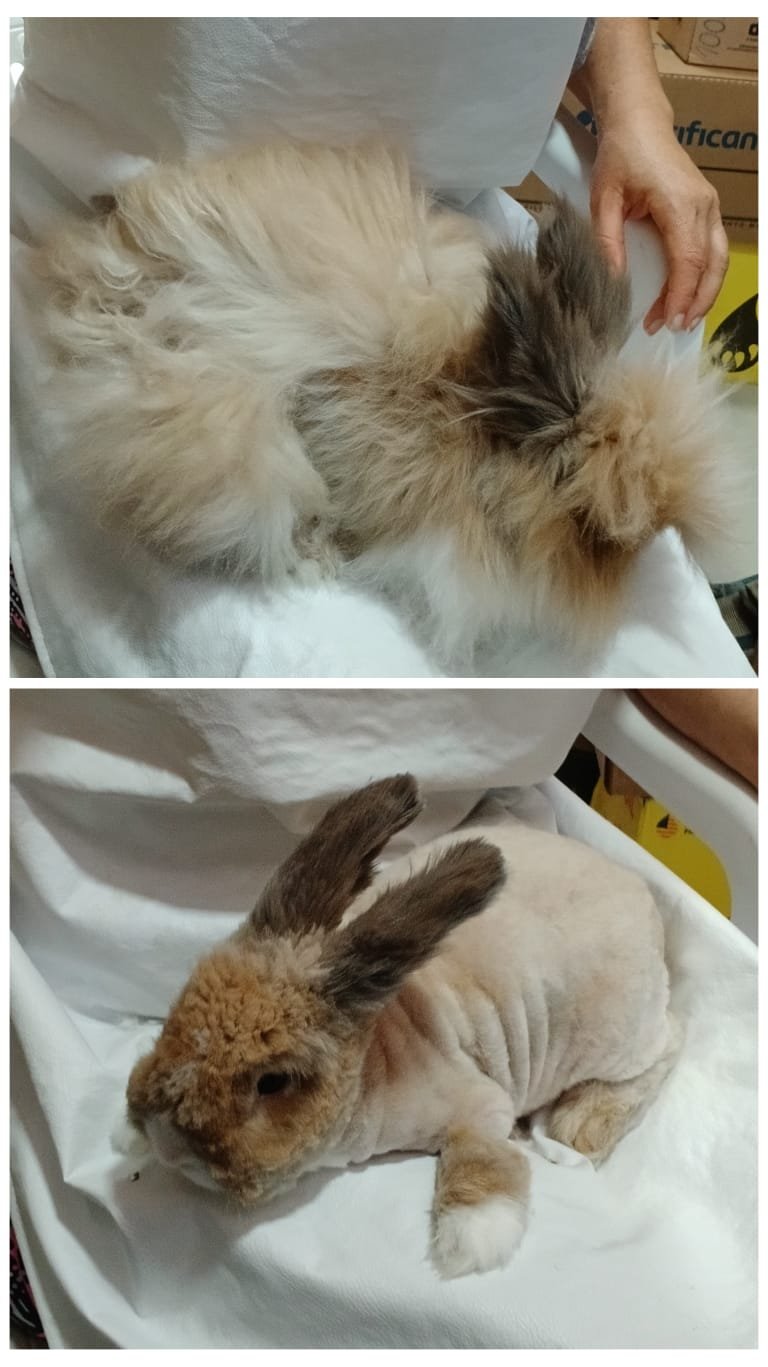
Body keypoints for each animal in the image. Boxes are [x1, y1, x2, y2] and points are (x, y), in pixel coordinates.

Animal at [126, 774, 681, 1279]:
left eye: (273, 1081)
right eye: (175, 1014)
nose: (164, 1141)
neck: (377, 1055)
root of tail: (640, 891)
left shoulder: (483, 1106)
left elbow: (481, 1156)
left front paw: (474, 1238)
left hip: (618, 1036)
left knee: (669, 1044)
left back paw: (581, 1126)